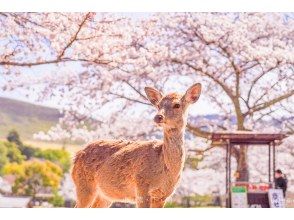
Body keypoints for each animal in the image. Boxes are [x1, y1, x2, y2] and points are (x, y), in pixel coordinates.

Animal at [70, 83, 202, 208]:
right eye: (158, 105)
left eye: (177, 105)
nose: (158, 117)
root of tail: (76, 156)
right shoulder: (142, 188)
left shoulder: (163, 195)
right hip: (83, 185)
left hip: (105, 195)